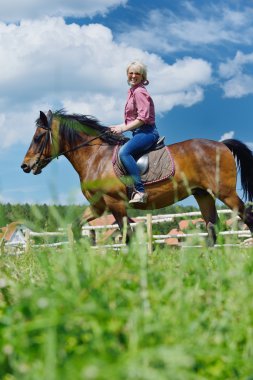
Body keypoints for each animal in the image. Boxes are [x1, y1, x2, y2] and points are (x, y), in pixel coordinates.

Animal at [20, 110, 253, 246]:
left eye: (38, 137)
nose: (25, 165)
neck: (95, 156)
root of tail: (222, 144)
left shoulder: (115, 203)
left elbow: (128, 235)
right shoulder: (98, 206)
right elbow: (76, 226)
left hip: (225, 192)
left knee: (246, 217)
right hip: (203, 194)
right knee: (212, 227)